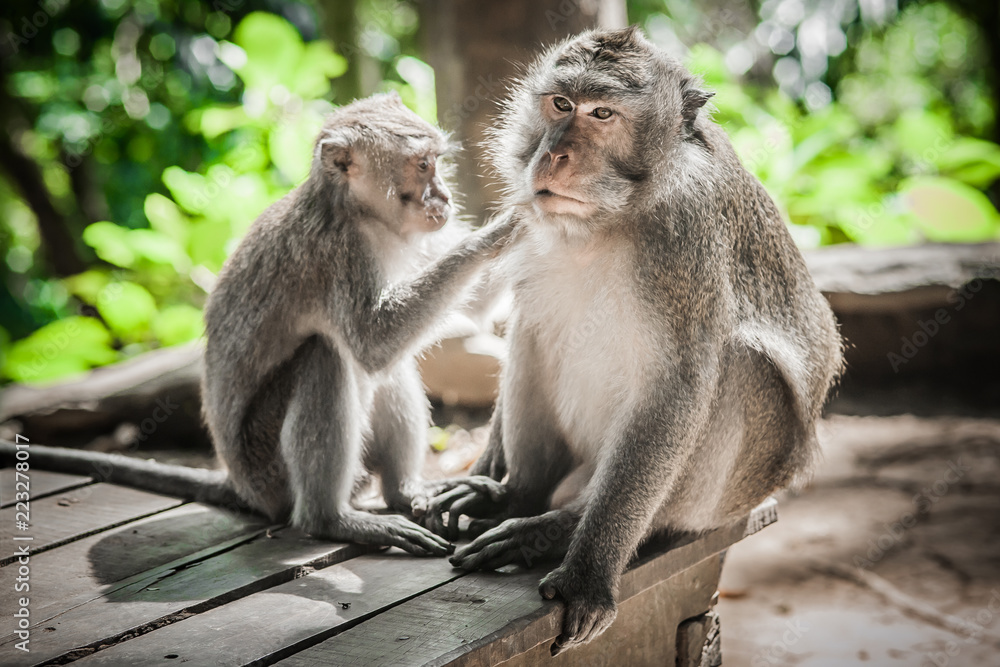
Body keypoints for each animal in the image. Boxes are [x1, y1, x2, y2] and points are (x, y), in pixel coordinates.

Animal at [5, 91, 524, 556]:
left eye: (435, 162)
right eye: (421, 166)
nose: (444, 197)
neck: (358, 214)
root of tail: (241, 483)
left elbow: (470, 310)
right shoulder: (335, 252)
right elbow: (374, 342)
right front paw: (507, 227)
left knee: (380, 368)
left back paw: (404, 491)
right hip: (267, 467)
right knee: (328, 355)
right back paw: (330, 520)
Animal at [422, 28, 844, 656]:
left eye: (602, 114)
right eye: (561, 105)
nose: (554, 155)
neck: (608, 218)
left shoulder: (688, 235)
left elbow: (679, 386)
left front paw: (587, 575)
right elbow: (529, 321)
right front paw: (491, 474)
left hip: (727, 492)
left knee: (742, 363)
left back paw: (557, 531)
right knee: (538, 329)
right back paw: (517, 496)